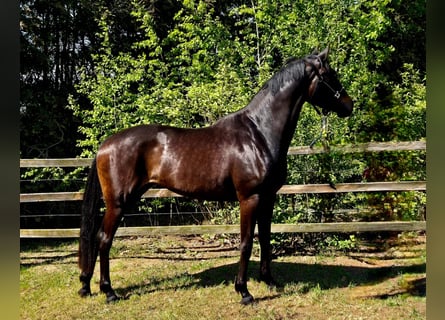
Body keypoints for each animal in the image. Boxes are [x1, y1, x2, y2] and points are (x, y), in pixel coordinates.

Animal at [78, 47, 352, 304]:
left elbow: (265, 239)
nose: (349, 105)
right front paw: (244, 292)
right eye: (331, 75)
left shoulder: (268, 198)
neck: (259, 133)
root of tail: (104, 145)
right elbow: (246, 243)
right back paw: (109, 291)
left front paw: (269, 281)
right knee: (104, 239)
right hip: (118, 203)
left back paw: (86, 286)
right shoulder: (249, 198)